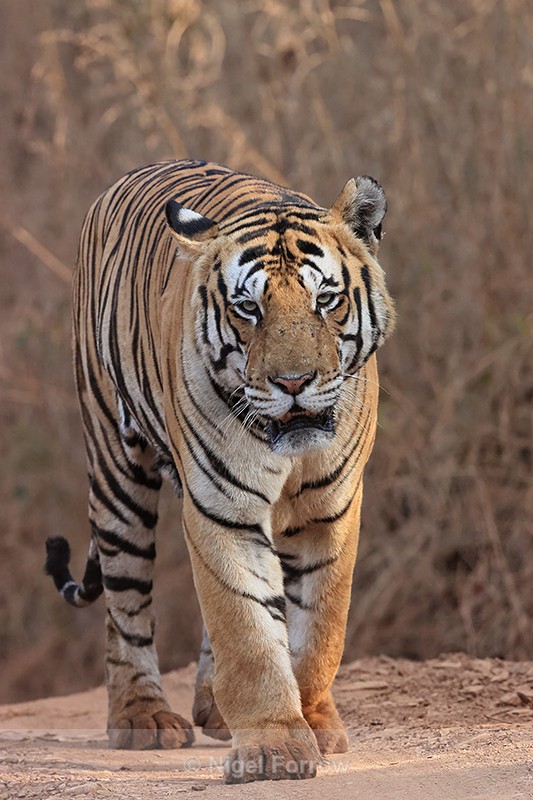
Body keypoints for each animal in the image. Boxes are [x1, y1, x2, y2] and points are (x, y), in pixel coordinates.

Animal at [44, 158, 395, 783]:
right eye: (248, 308)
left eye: (326, 300)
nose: (292, 382)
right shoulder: (220, 507)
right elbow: (247, 630)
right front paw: (275, 747)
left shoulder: (331, 511)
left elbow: (319, 628)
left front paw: (315, 722)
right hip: (114, 468)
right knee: (125, 601)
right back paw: (141, 716)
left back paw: (213, 707)